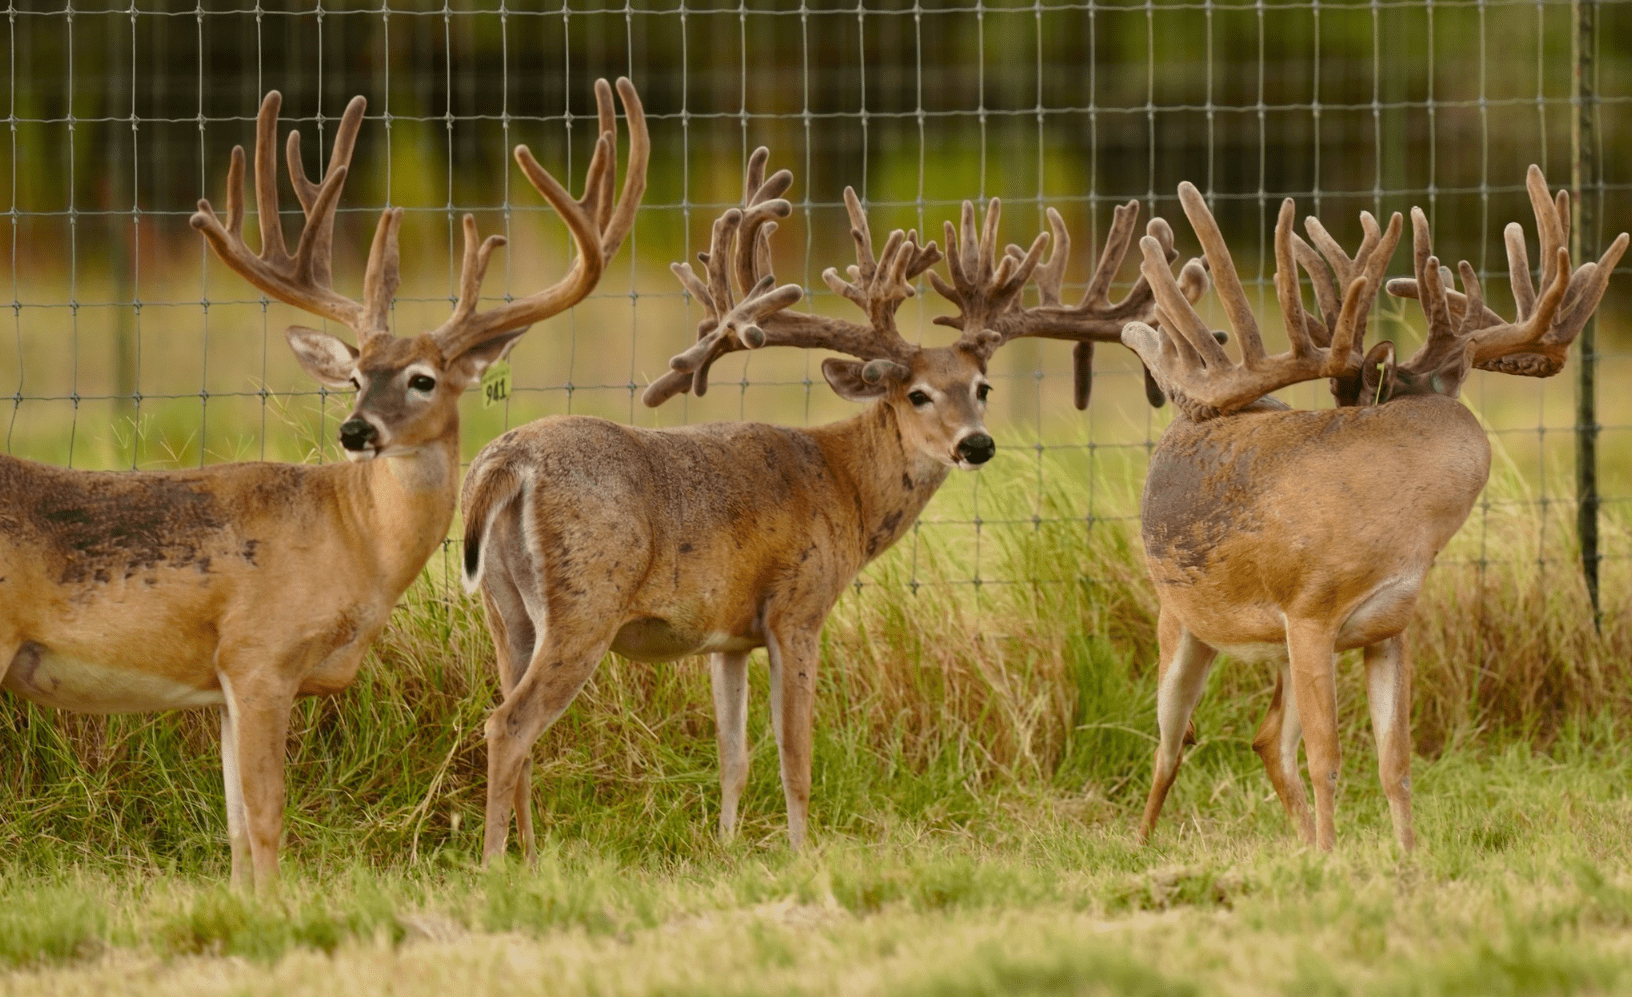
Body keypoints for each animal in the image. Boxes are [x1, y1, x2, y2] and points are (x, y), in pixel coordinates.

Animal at [0, 78, 647, 890]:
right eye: (355, 376)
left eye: (422, 378)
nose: (354, 430)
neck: (351, 537)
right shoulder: (259, 656)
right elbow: (266, 819)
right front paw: (275, 908)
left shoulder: (224, 684)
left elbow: (235, 828)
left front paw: (242, 904)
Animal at [460, 145, 1207, 862]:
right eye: (917, 394)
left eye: (983, 387)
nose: (977, 443)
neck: (843, 485)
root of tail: (505, 463)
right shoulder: (798, 606)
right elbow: (796, 752)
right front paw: (801, 852)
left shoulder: (728, 634)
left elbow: (733, 757)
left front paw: (726, 851)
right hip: (587, 601)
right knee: (508, 724)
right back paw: (497, 862)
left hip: (505, 611)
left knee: (513, 723)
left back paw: (532, 857)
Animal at [1123, 166, 1626, 852]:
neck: (1402, 531)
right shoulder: (1309, 612)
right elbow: (1328, 758)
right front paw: (1333, 861)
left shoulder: (1388, 627)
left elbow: (1395, 762)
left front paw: (1405, 857)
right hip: (1181, 623)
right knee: (1169, 746)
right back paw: (1143, 844)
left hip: (1276, 650)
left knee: (1265, 739)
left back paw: (1298, 839)